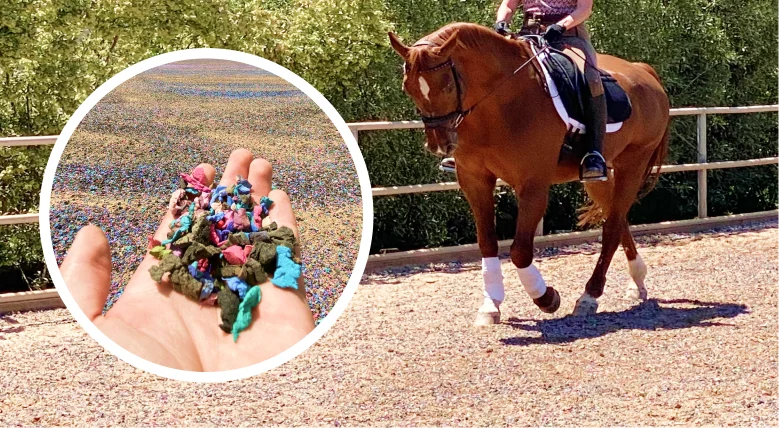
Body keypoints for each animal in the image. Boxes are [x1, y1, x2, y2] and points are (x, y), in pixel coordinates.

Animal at [390, 22, 672, 324]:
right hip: (600, 176)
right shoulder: (474, 181)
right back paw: (636, 282)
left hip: (633, 163)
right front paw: (490, 304)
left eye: (447, 85)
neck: (499, 104)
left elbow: (520, 251)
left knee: (611, 228)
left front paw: (546, 297)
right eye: (408, 88)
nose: (439, 144)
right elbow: (487, 243)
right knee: (617, 220)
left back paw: (589, 296)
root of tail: (642, 71)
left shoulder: (532, 184)